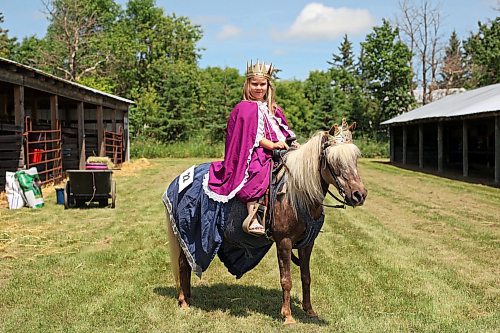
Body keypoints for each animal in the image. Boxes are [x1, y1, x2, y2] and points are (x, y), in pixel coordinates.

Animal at [166, 120, 366, 322]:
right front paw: (288, 316)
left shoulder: (307, 243)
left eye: (355, 159)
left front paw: (309, 310)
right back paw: (183, 302)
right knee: (183, 264)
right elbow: (286, 280)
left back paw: (188, 296)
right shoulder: (284, 241)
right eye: (334, 160)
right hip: (188, 235)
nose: (359, 195)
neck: (297, 193)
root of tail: (177, 180)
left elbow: (306, 276)